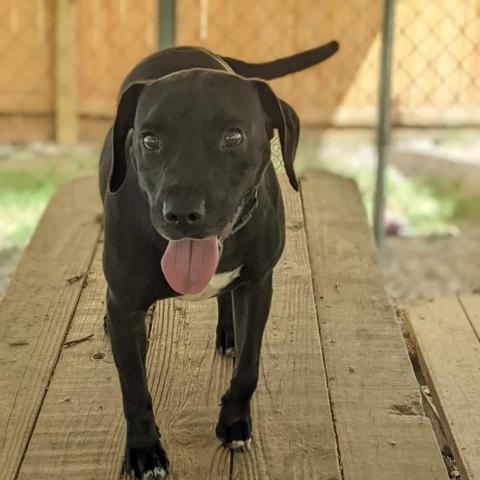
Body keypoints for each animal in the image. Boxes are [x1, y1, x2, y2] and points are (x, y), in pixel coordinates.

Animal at [98, 42, 338, 480]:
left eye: (233, 136)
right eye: (149, 140)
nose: (181, 213)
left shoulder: (258, 285)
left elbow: (248, 366)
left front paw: (234, 422)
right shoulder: (125, 304)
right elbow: (134, 387)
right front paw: (144, 450)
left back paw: (228, 330)